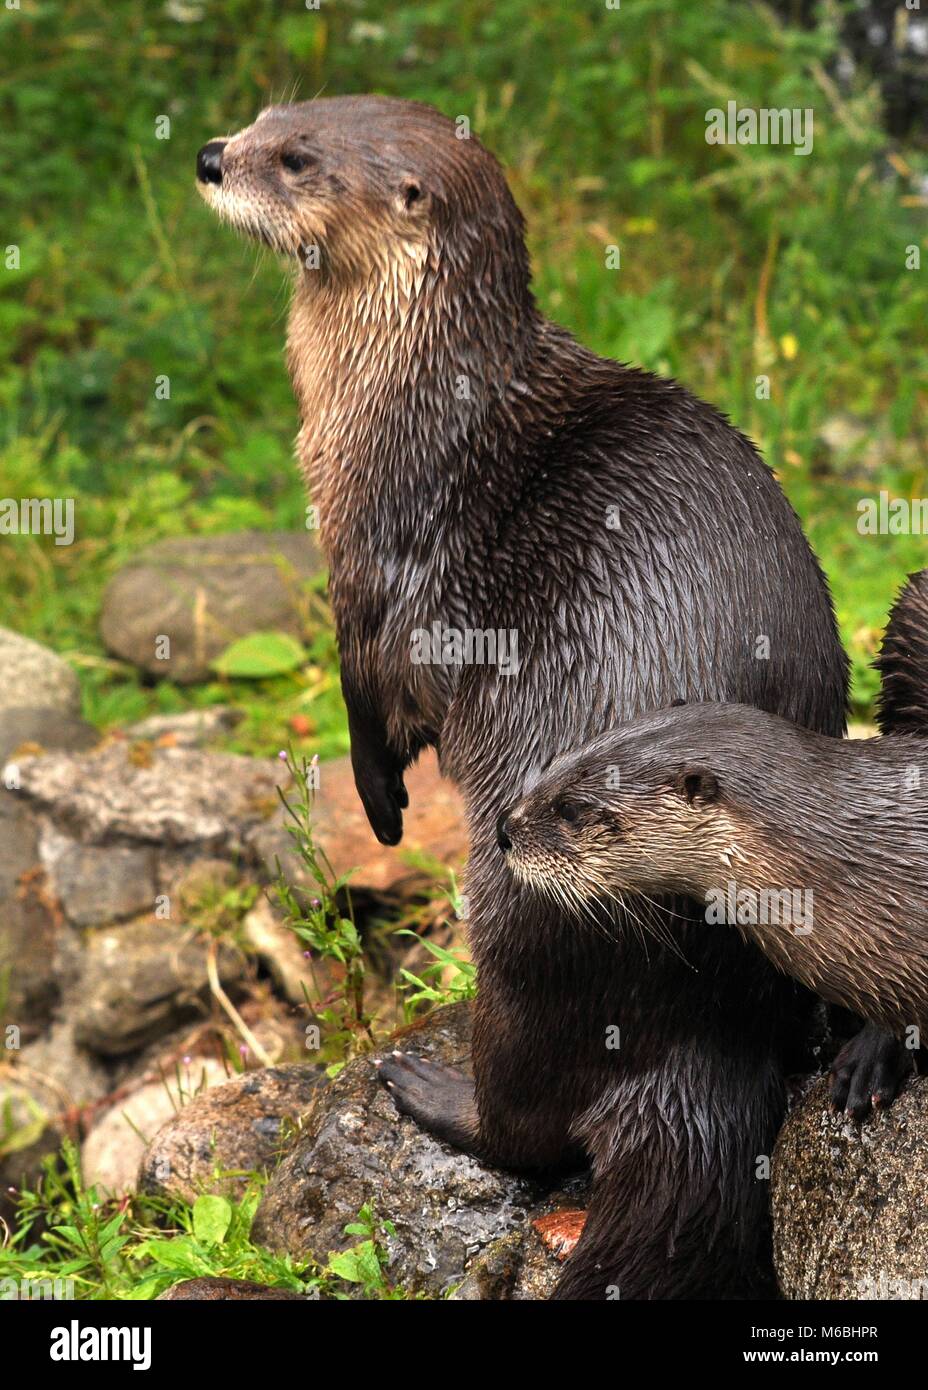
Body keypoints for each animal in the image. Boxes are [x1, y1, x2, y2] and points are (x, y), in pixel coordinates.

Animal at [194, 97, 855, 1301]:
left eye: (298, 158)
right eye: (267, 113)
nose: (212, 156)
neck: (397, 403)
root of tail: (700, 1051)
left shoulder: (376, 565)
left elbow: (375, 697)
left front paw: (380, 802)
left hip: (520, 913)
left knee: (531, 1125)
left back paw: (430, 1092)